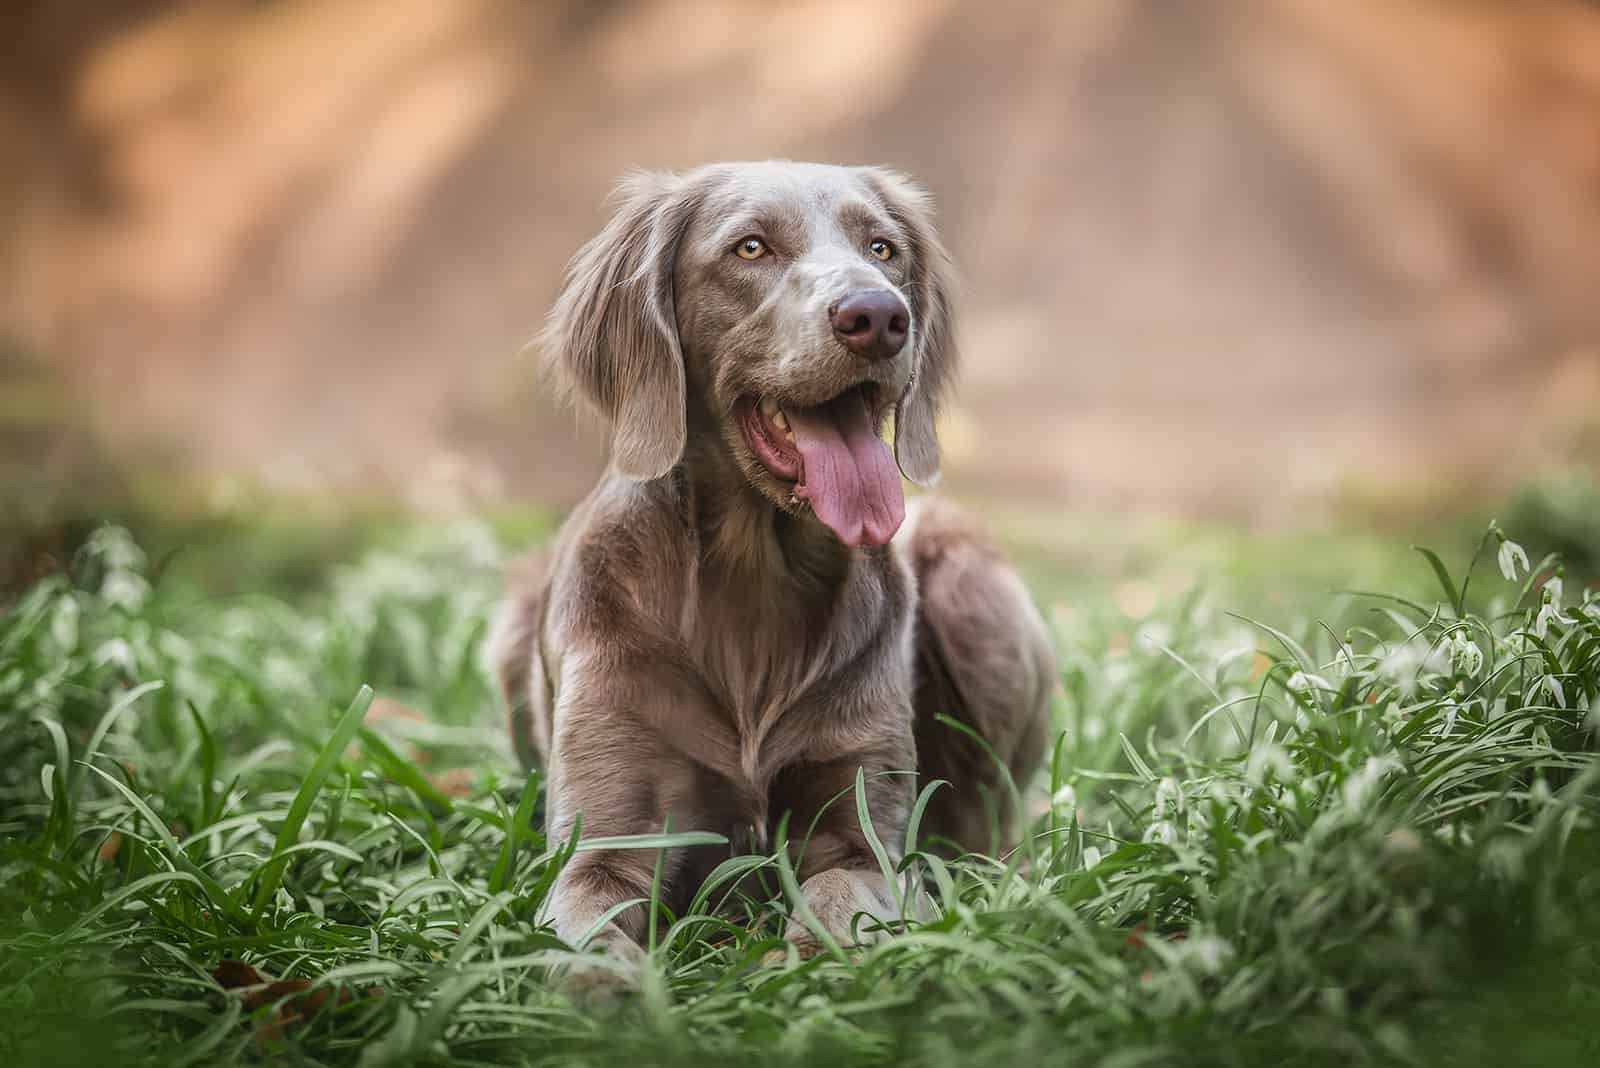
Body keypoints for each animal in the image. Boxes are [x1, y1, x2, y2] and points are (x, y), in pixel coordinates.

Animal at [492, 160, 1056, 978]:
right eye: (751, 247)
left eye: (883, 249)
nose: (877, 316)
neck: (755, 580)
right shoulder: (603, 846)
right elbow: (584, 935)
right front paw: (606, 994)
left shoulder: (863, 837)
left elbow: (836, 897)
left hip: (973, 591)